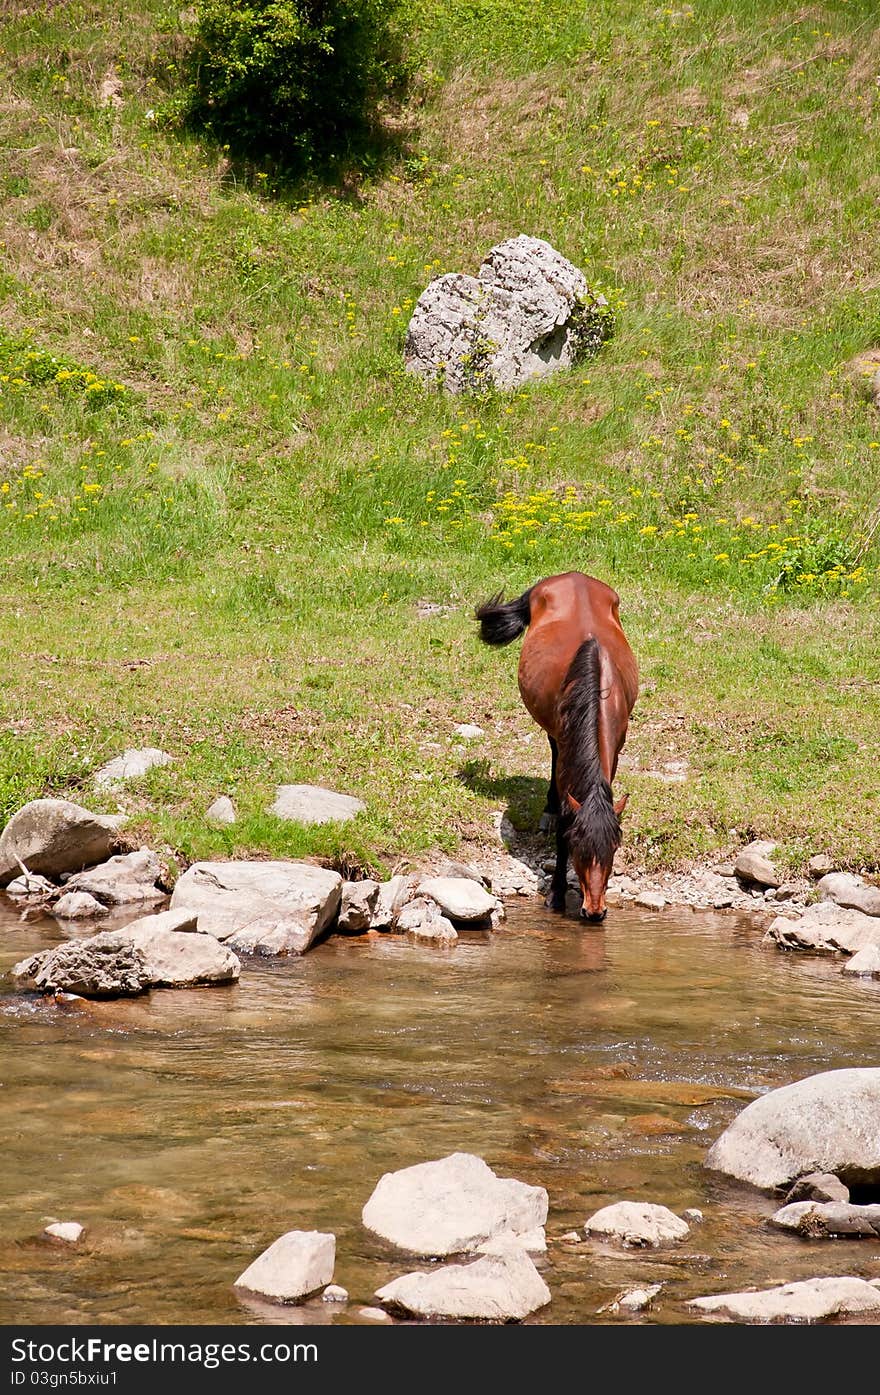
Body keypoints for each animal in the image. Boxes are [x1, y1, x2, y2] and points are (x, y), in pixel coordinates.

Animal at [474, 571, 641, 920]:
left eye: (614, 848)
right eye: (578, 847)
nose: (595, 911)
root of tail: (570, 576)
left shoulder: (616, 749)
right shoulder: (567, 755)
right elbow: (565, 816)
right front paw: (557, 894)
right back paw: (548, 809)